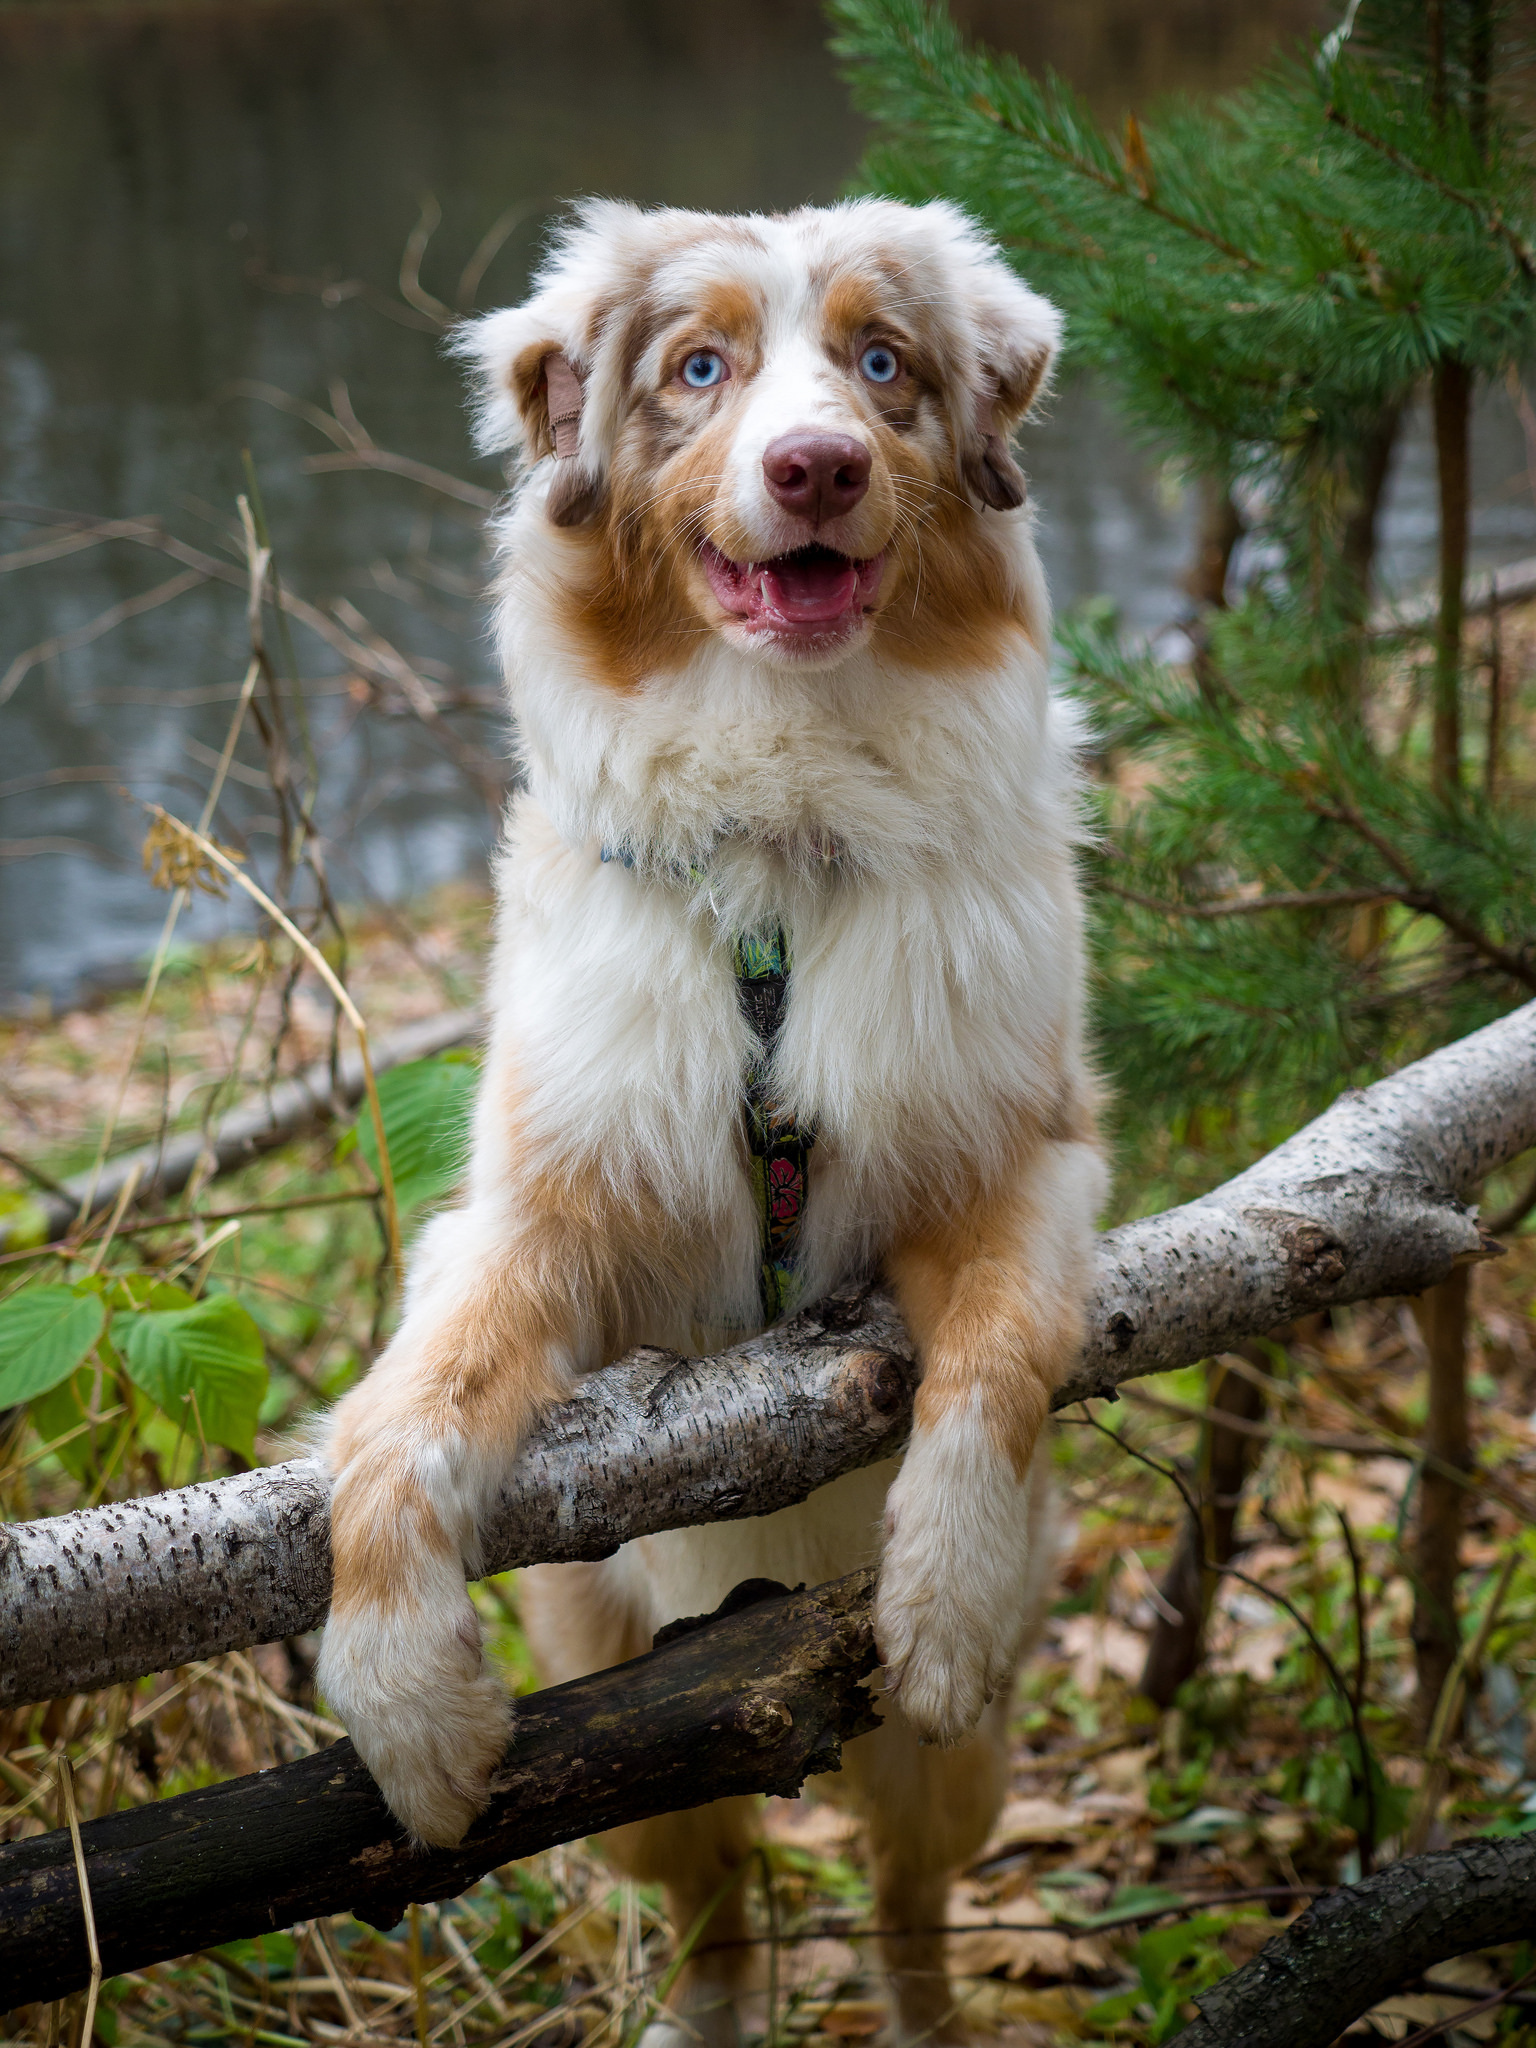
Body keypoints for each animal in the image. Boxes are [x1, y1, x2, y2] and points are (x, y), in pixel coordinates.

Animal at [319, 195, 1097, 2048]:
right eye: (698, 370)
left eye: (882, 363)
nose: (815, 465)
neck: (785, 828)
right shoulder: (542, 1211)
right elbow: (395, 1429)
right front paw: (407, 1713)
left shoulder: (1024, 1159)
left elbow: (994, 1361)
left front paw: (942, 1593)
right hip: (627, 1748)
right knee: (720, 1897)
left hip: (946, 1780)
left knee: (905, 1901)